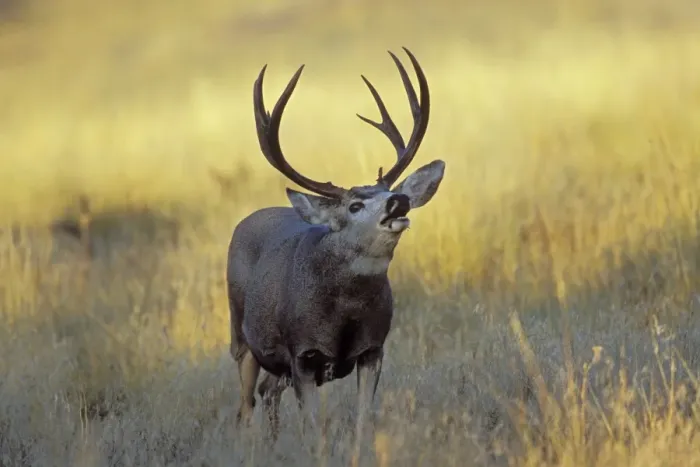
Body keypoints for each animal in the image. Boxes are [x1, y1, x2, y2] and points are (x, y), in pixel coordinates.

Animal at [227, 47, 446, 444]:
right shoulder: (302, 352)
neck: (345, 314)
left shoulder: (374, 347)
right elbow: (314, 425)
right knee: (245, 406)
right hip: (241, 334)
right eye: (354, 205)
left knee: (266, 392)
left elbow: (364, 418)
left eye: (388, 191)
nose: (400, 201)